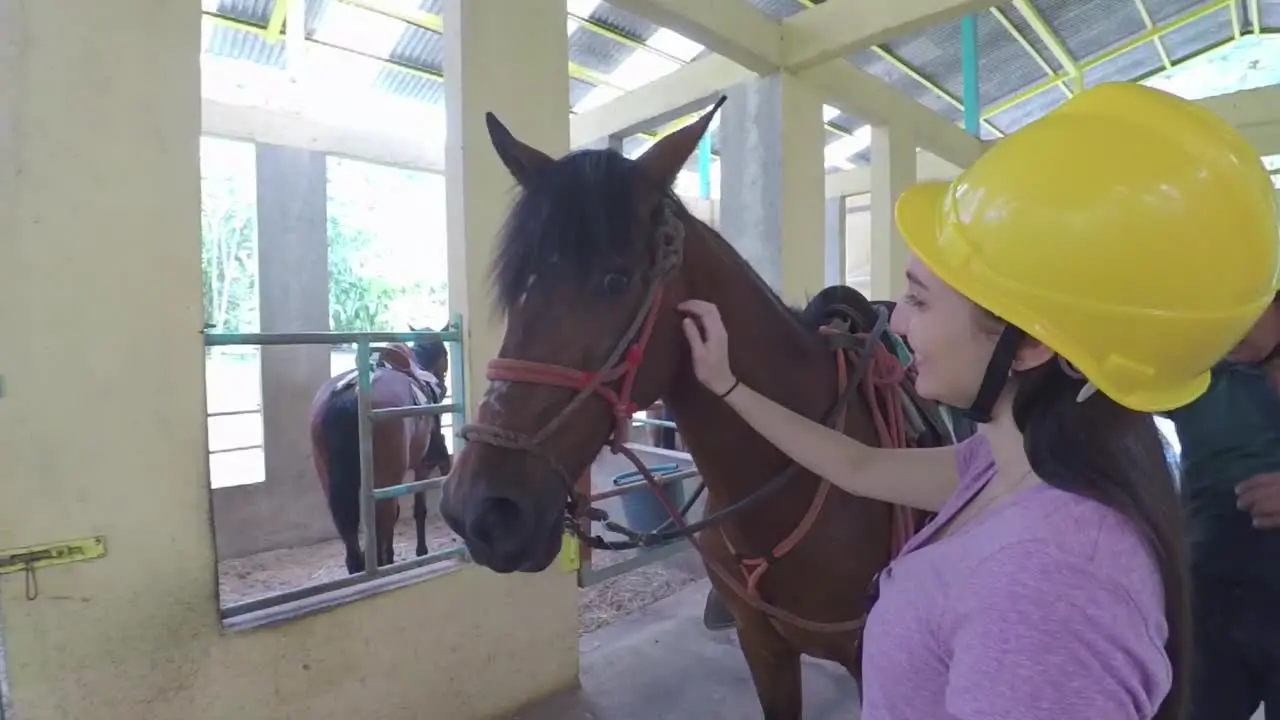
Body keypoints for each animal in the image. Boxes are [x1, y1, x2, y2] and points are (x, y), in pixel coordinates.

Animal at [307, 327, 453, 573]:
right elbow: (419, 509)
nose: (443, 384)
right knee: (382, 520)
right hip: (384, 479)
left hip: (330, 481)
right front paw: (420, 551)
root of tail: (352, 394)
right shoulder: (425, 464)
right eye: (445, 354)